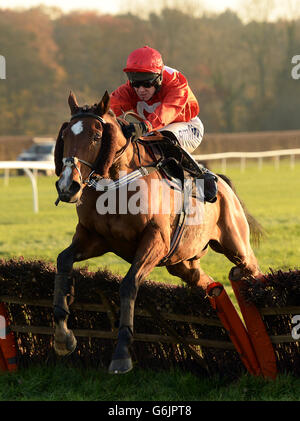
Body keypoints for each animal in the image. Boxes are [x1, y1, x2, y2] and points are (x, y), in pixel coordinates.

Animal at [52, 90, 264, 372]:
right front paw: (63, 337)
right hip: (182, 263)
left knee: (253, 270)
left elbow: (129, 284)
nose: (68, 186)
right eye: (65, 136)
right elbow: (63, 261)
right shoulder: (93, 238)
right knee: (209, 284)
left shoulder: (156, 240)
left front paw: (121, 354)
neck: (117, 186)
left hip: (236, 244)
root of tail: (224, 185)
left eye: (96, 136)